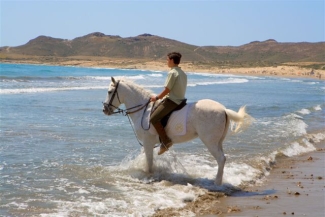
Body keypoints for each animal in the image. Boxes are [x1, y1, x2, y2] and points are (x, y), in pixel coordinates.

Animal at [102, 77, 251, 186]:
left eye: (109, 92)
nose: (105, 110)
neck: (144, 111)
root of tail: (224, 110)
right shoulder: (147, 144)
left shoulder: (148, 142)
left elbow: (149, 163)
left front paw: (149, 177)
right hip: (218, 141)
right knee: (223, 159)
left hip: (210, 142)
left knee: (220, 159)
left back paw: (217, 183)